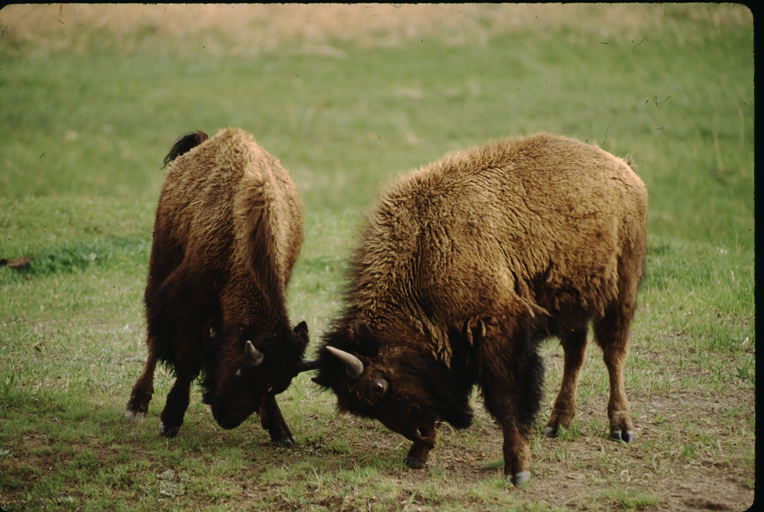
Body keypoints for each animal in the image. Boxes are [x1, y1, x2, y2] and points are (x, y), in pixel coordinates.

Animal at [124, 125, 308, 444]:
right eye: (239, 374)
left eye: (275, 387)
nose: (227, 419)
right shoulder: (191, 301)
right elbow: (186, 358)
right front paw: (170, 421)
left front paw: (281, 431)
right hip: (159, 267)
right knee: (154, 342)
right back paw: (136, 406)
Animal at [314, 132, 648, 484]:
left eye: (378, 387)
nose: (417, 431)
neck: (423, 248)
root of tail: (622, 168)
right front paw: (417, 454)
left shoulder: (500, 329)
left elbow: (506, 399)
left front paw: (518, 469)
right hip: (572, 302)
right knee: (576, 353)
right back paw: (558, 423)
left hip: (622, 290)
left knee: (613, 353)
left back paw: (621, 427)